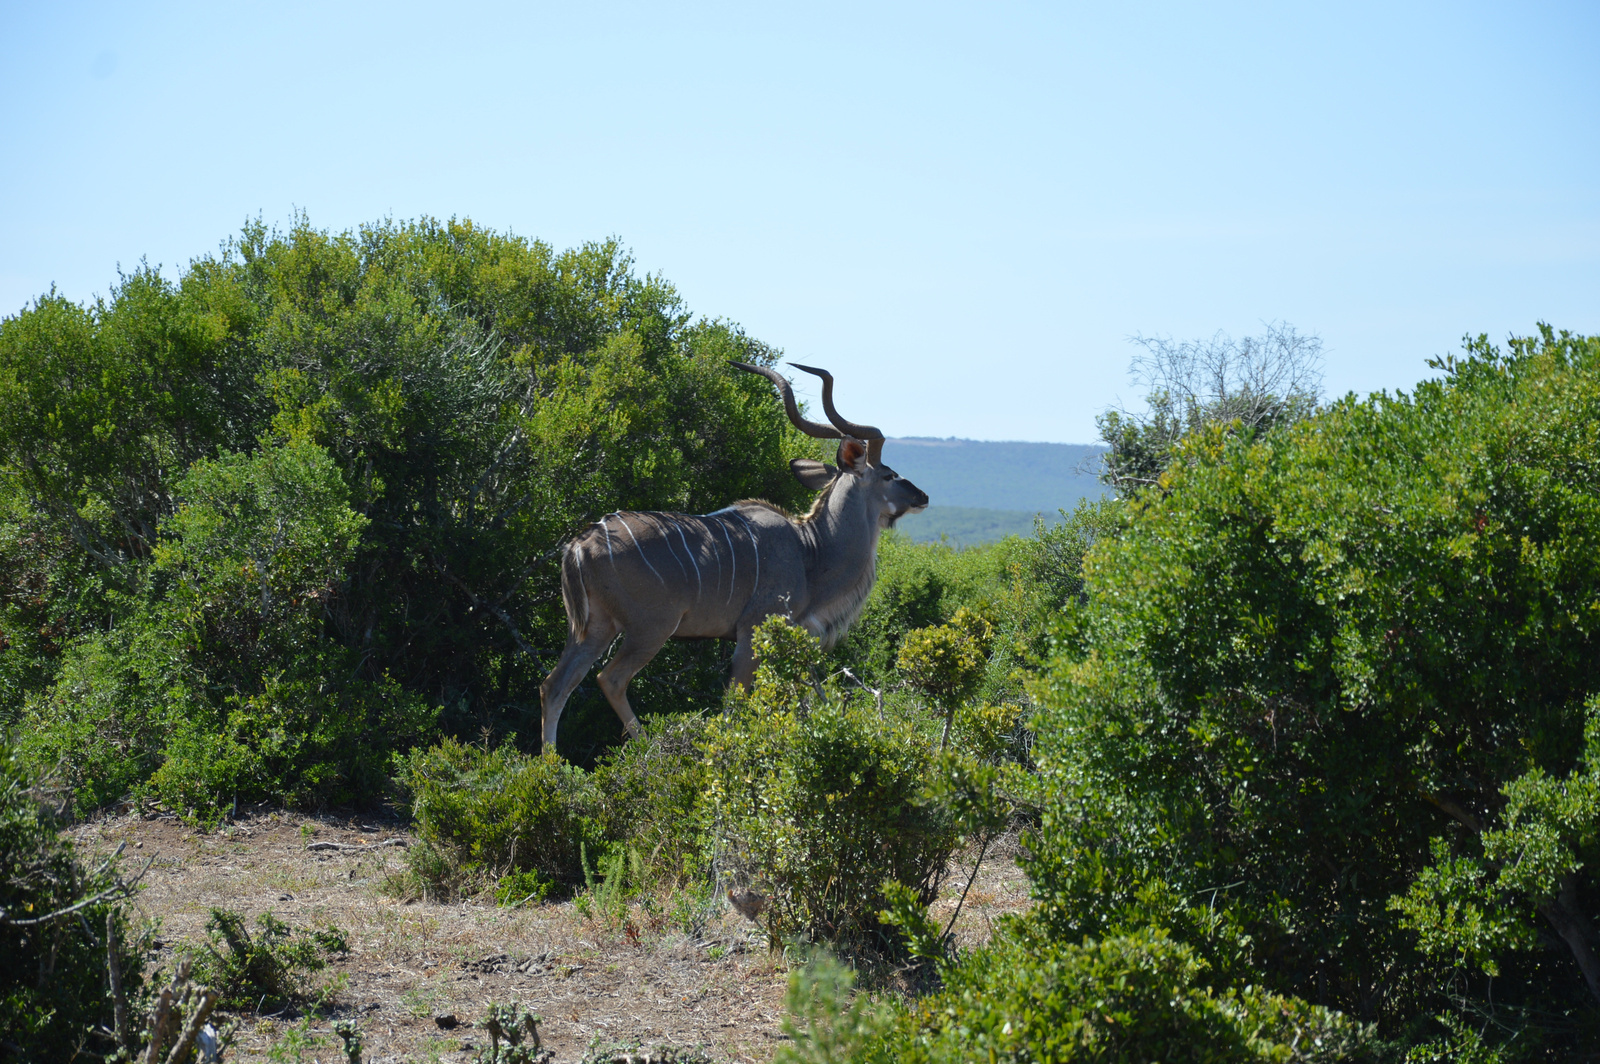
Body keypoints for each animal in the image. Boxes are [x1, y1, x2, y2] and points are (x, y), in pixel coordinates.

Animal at [544, 364, 934, 745]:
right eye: (889, 475)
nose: (923, 496)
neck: (811, 551)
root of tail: (579, 546)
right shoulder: (751, 634)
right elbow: (734, 706)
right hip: (650, 628)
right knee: (610, 679)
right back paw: (644, 746)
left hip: (594, 629)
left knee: (554, 685)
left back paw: (550, 761)